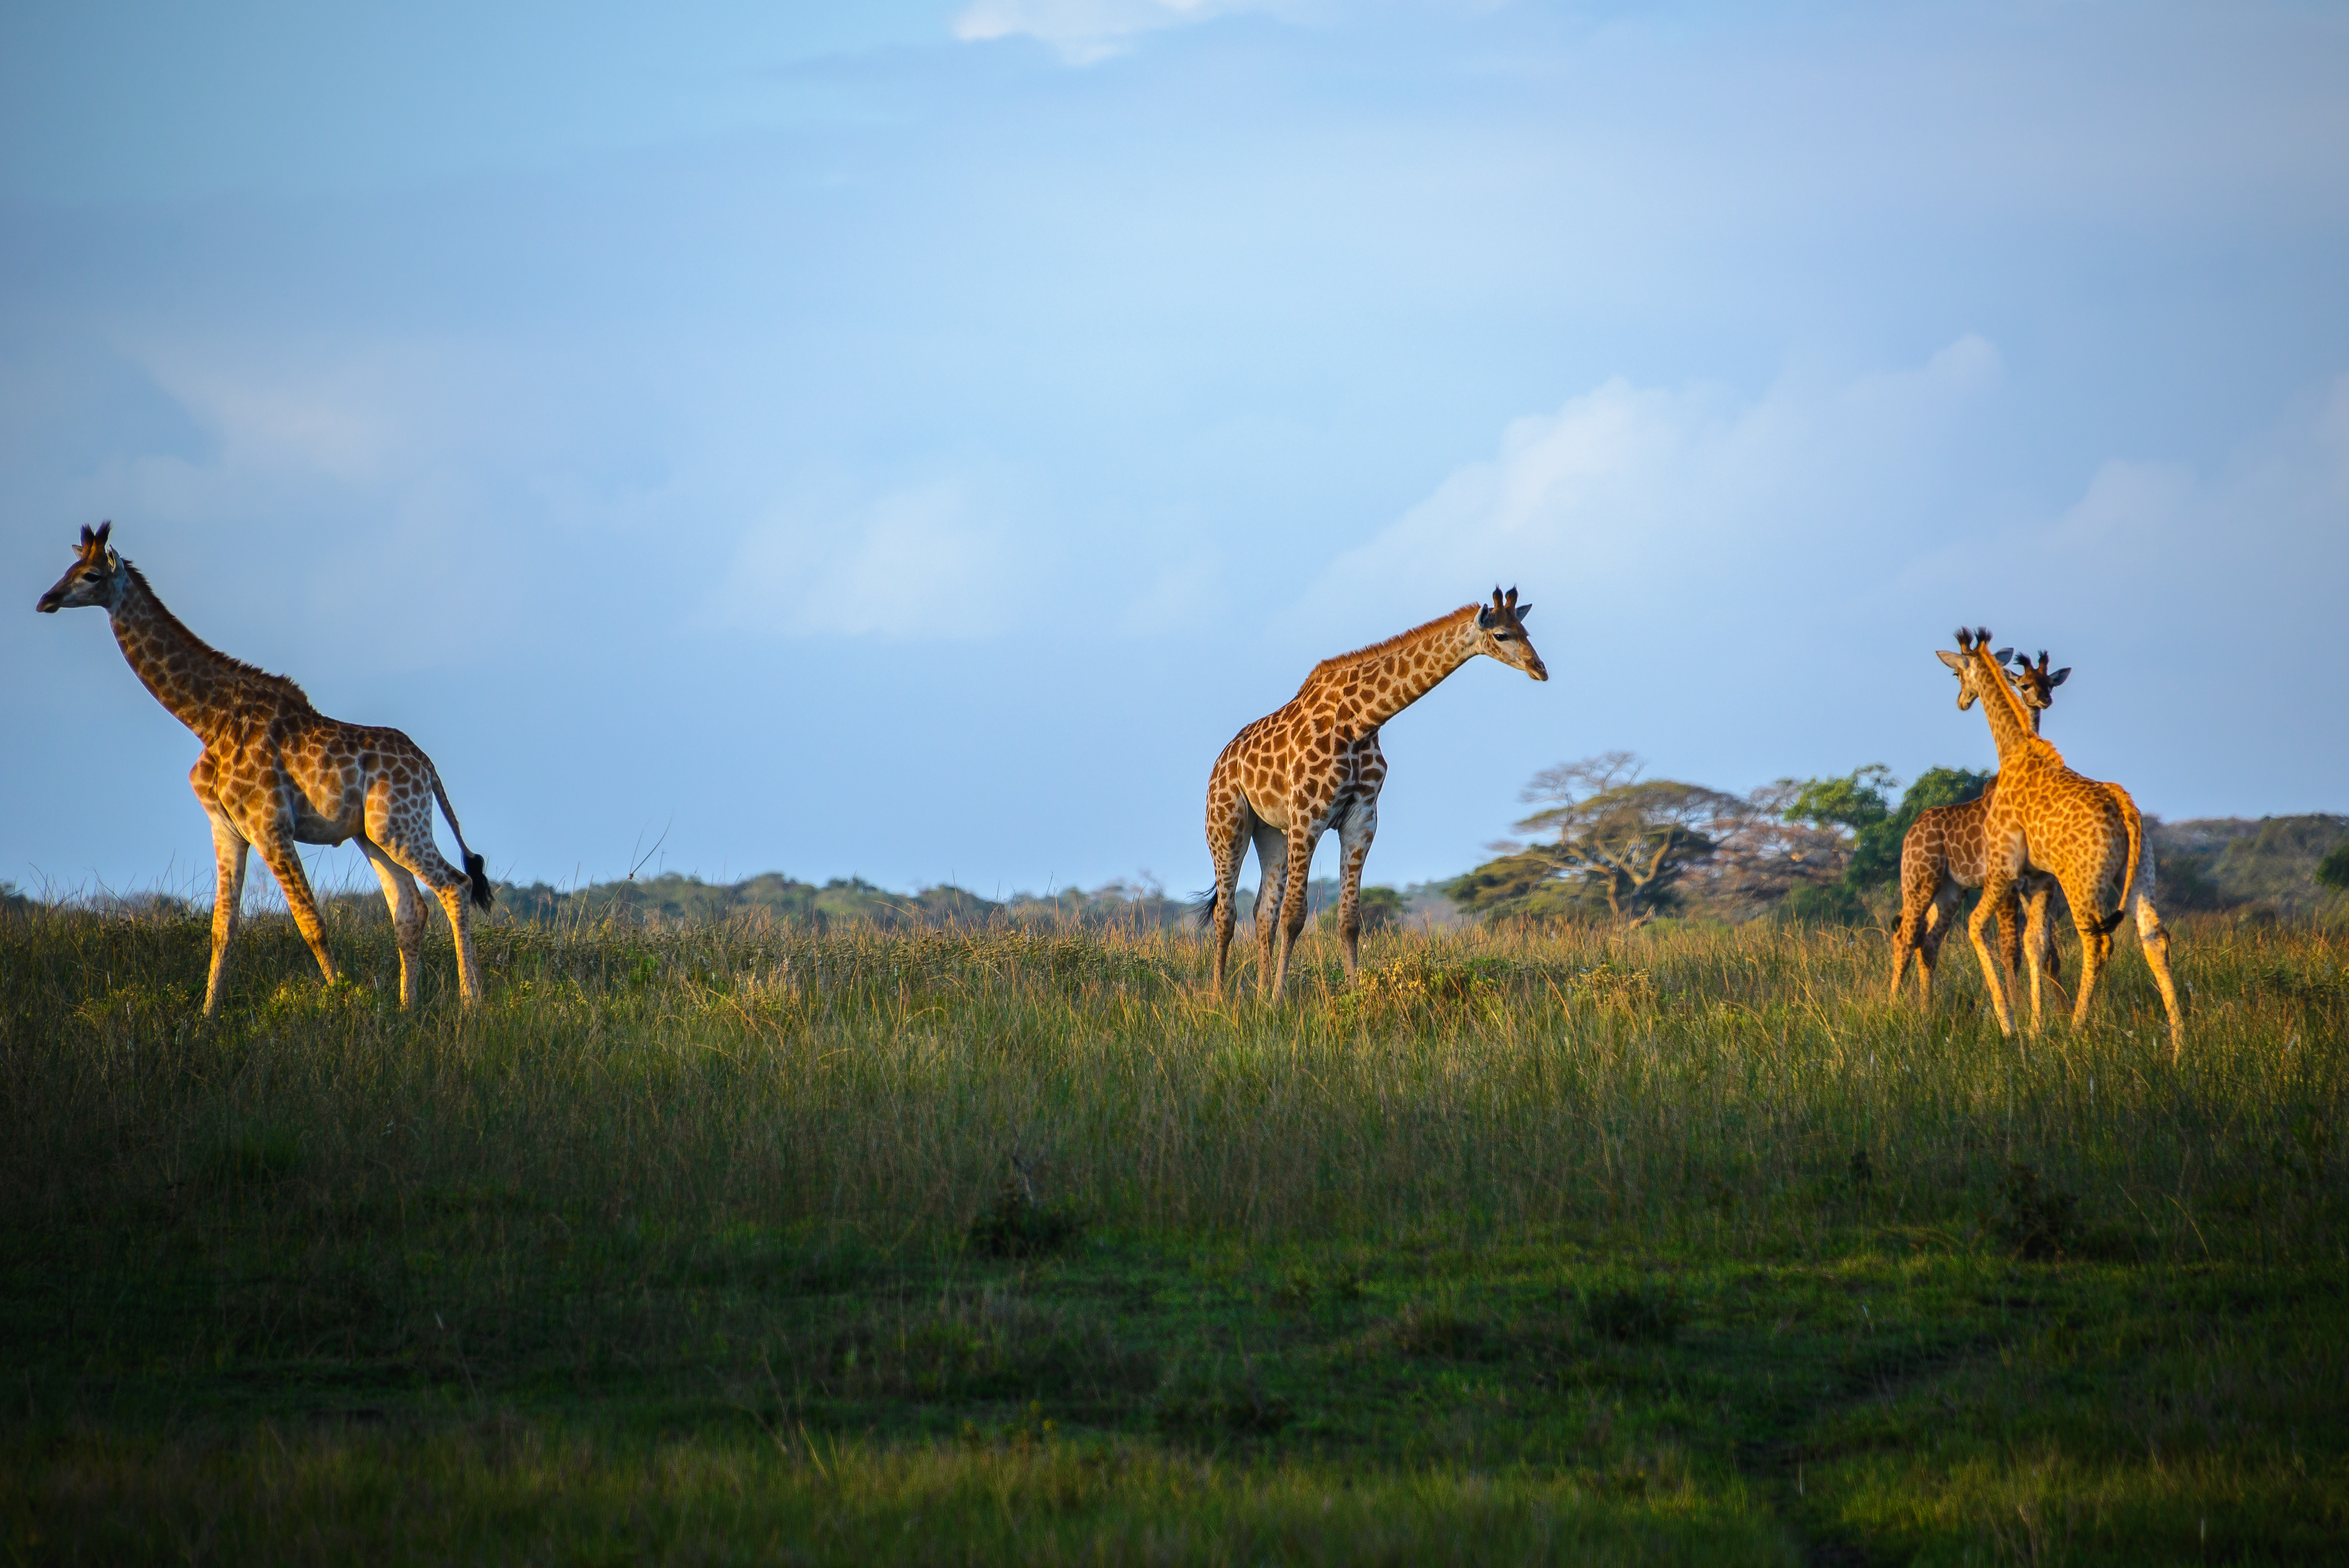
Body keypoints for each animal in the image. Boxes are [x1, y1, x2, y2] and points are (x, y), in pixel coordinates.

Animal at [37, 523, 493, 1019]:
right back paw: (408, 1008)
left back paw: (471, 1002)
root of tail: (428, 766)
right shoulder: (227, 829)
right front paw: (207, 1016)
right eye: (69, 568)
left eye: (92, 575)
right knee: (410, 910)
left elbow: (311, 921)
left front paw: (342, 999)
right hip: (373, 834)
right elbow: (223, 928)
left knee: (456, 884)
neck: (209, 719)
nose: (47, 599)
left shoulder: (270, 825)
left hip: (400, 827)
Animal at [1203, 582, 1550, 1000]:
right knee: (1227, 913)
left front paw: (1351, 995)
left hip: (1271, 831)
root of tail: (1221, 763)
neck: (1360, 721)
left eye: (1525, 631)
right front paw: (1280, 1001)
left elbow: (1349, 919)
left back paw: (1257, 996)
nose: (1540, 669)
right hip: (1228, 824)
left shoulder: (1361, 819)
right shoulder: (1309, 816)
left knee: (1261, 912)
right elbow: (1295, 916)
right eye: (1501, 635)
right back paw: (1220, 998)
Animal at [1888, 647, 2076, 1004]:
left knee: (1928, 942)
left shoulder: (2038, 884)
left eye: (2050, 683)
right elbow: (2011, 950)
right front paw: (2019, 1007)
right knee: (1905, 937)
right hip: (1919, 882)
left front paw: (2058, 1010)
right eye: (2025, 684)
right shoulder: (2010, 885)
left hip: (1950, 891)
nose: (2043, 699)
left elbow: (2049, 950)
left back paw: (1925, 1009)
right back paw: (1893, 1007)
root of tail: (1909, 834)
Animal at [1935, 629, 2189, 1051]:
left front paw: (2009, 1025)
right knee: (2155, 938)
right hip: (2139, 873)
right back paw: (2180, 1042)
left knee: (2098, 943)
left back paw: (2076, 1030)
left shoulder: (2004, 870)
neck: (2014, 749)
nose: (1961, 701)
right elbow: (2036, 943)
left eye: (1957, 674)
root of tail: (2125, 809)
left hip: (2082, 881)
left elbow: (1975, 927)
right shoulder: (2039, 878)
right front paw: (2035, 1029)